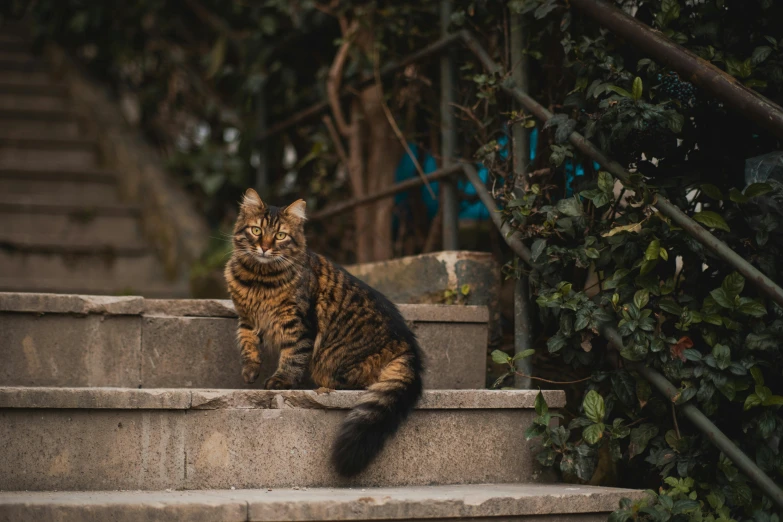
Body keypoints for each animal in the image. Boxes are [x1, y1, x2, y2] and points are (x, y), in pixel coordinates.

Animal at [224, 188, 426, 476]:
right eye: (256, 230)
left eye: (280, 236)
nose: (264, 247)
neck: (258, 278)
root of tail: (409, 347)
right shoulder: (247, 319)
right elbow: (247, 343)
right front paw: (250, 370)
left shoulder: (298, 324)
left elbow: (292, 357)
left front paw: (281, 381)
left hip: (333, 360)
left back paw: (323, 387)